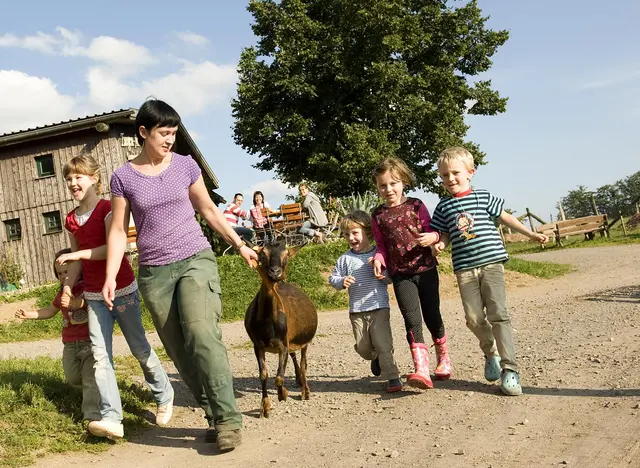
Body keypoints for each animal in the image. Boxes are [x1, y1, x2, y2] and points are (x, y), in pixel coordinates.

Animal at [244, 241, 318, 416]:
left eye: (286, 255)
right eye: (262, 254)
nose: (275, 272)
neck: (266, 322)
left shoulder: (282, 344)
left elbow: (279, 377)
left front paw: (282, 394)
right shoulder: (258, 344)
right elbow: (264, 375)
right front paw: (265, 407)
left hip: (304, 340)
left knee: (303, 363)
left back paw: (305, 391)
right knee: (294, 356)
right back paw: (298, 381)